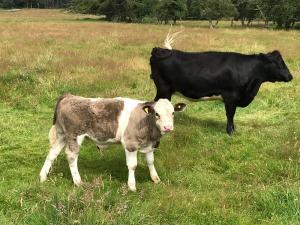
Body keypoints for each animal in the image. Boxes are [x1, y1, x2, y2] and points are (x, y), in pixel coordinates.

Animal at [39, 94, 185, 191]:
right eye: (156, 114)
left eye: (173, 113)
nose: (168, 127)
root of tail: (68, 96)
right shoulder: (130, 144)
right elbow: (132, 165)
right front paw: (132, 186)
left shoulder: (149, 145)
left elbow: (150, 162)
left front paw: (156, 179)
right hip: (75, 135)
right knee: (71, 155)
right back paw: (78, 182)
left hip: (62, 135)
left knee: (52, 153)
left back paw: (42, 177)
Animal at [150, 34, 292, 134]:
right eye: (278, 63)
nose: (290, 76)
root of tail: (162, 50)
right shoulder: (230, 97)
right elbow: (230, 114)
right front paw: (230, 132)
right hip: (163, 88)